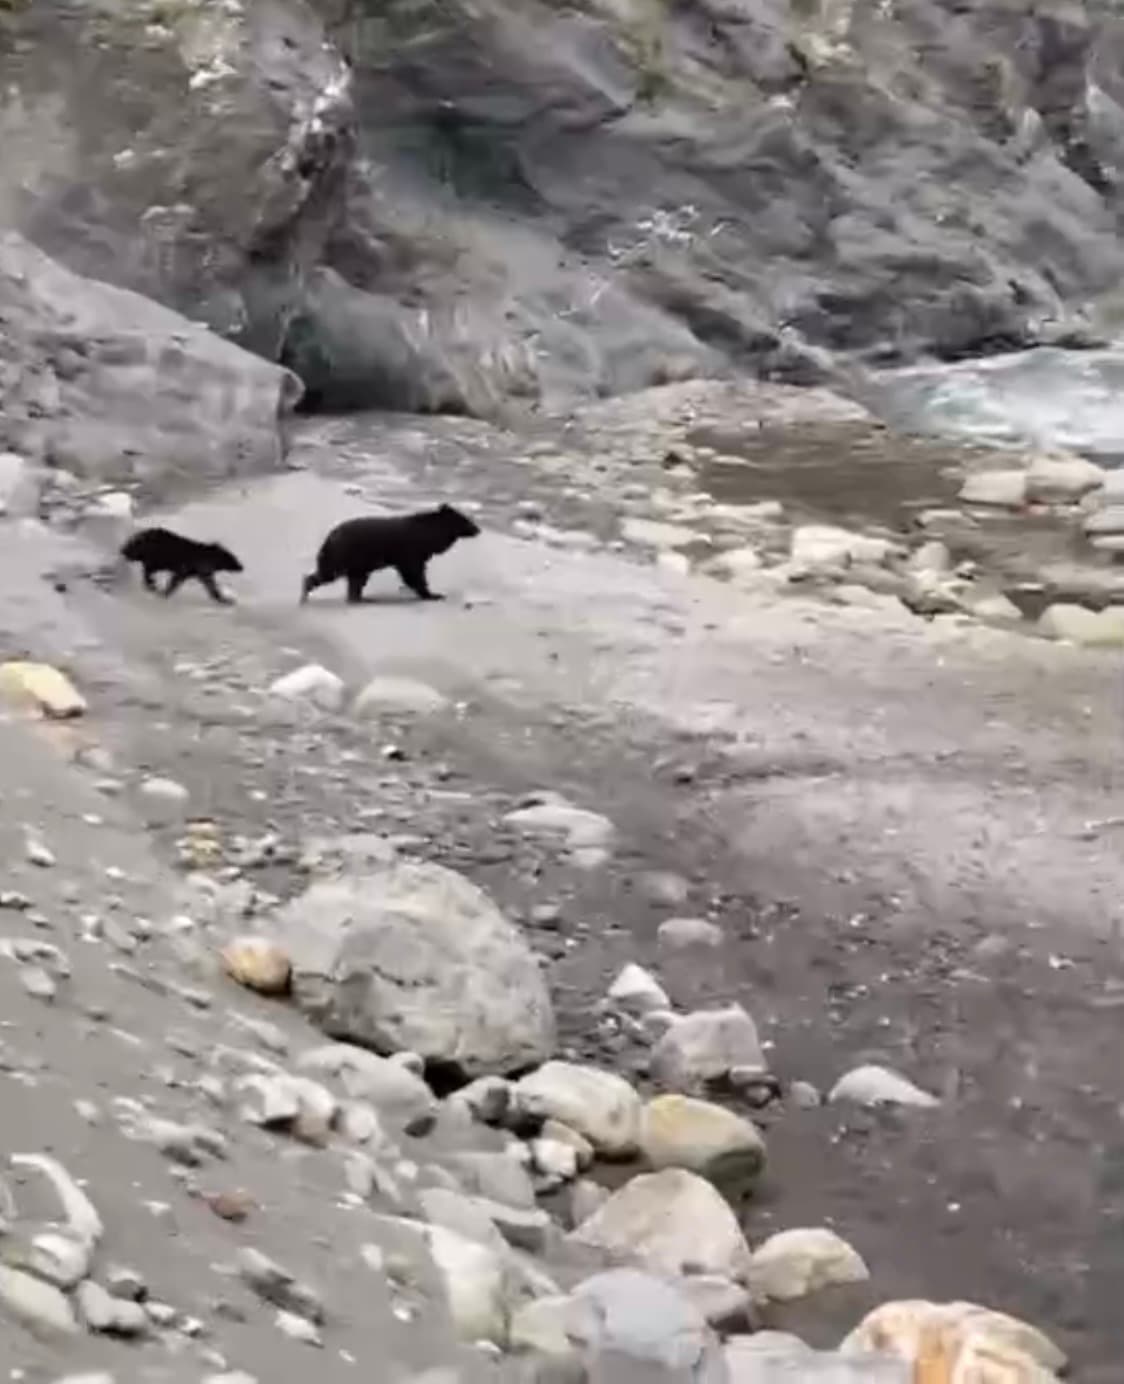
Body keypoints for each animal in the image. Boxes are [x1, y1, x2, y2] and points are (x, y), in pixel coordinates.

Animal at [299, 503, 480, 605]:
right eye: (466, 520)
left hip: (357, 562)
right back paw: (305, 594)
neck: (429, 535)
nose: (478, 529)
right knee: (328, 574)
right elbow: (414, 573)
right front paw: (433, 594)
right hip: (343, 555)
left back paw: (360, 598)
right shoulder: (410, 552)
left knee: (355, 580)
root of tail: (329, 537)